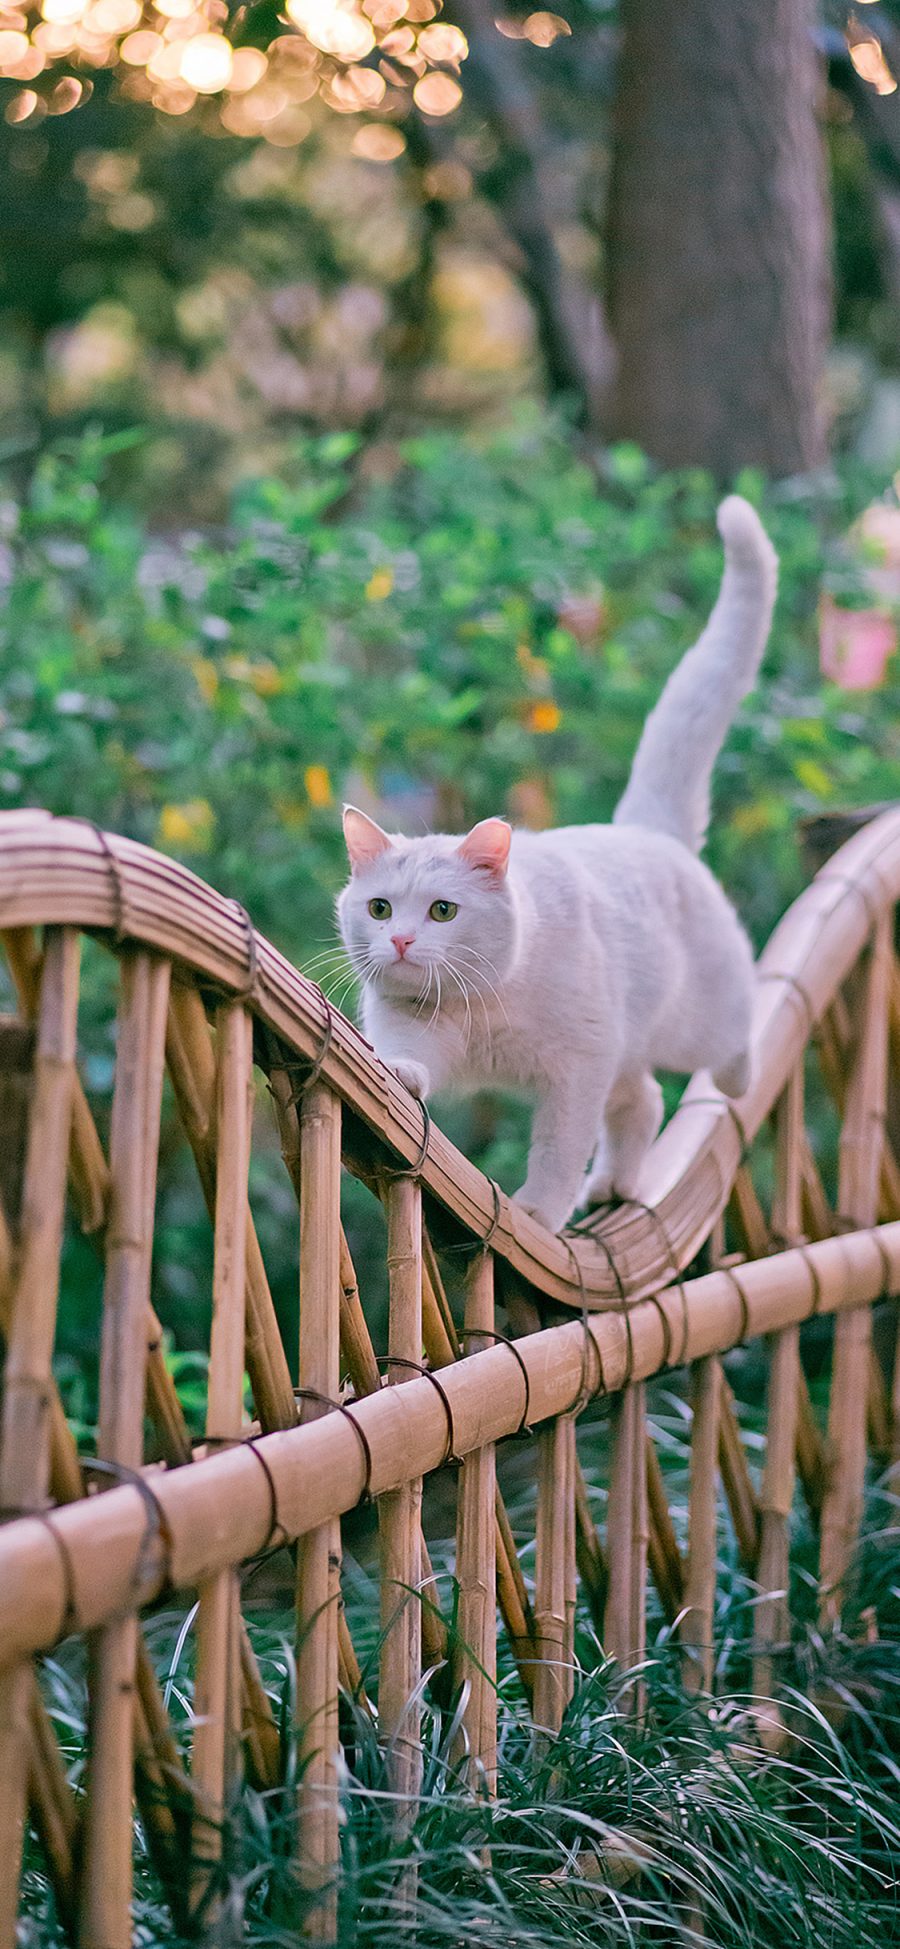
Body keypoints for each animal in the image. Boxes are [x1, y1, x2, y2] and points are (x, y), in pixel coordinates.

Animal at [333, 495, 775, 1223]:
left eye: (443, 910)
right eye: (378, 908)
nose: (399, 940)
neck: (483, 1003)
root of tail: (647, 829)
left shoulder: (578, 1067)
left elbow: (559, 1147)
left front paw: (539, 1210)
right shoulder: (412, 1020)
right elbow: (407, 1059)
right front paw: (400, 1075)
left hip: (696, 1024)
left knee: (735, 1035)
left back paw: (735, 1080)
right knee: (644, 1099)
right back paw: (615, 1186)